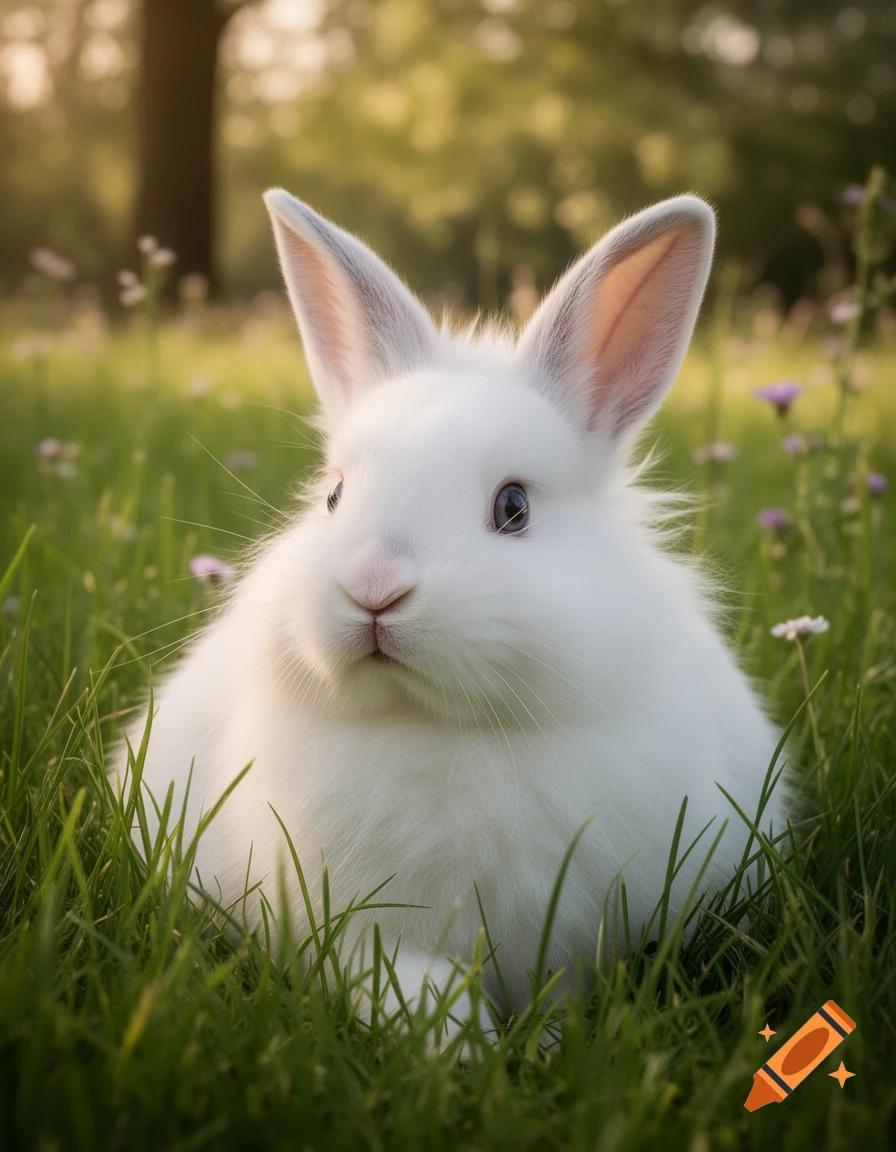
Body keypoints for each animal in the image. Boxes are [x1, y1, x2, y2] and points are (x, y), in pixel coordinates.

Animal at [115, 188, 786, 1036]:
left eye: (513, 507)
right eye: (334, 495)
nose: (374, 587)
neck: (437, 728)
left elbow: (557, 991)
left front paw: (542, 1043)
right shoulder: (366, 935)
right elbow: (413, 988)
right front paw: (458, 1045)